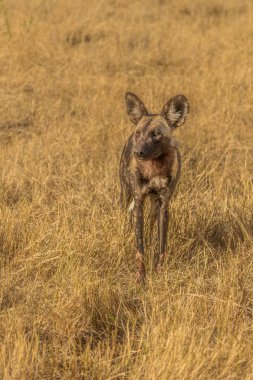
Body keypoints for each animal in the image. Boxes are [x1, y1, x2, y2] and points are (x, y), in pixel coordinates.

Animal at [120, 92, 190, 282]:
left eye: (156, 134)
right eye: (138, 133)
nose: (138, 152)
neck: (154, 169)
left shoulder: (164, 205)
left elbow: (162, 246)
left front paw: (159, 273)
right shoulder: (138, 202)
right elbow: (139, 248)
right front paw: (141, 277)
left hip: (153, 205)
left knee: (150, 229)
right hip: (126, 194)